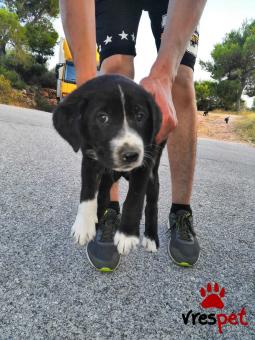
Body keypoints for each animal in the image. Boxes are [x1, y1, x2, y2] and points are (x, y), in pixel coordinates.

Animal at [53, 75, 165, 255]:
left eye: (140, 116)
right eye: (102, 117)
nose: (131, 155)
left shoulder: (144, 165)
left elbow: (134, 197)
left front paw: (127, 234)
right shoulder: (90, 159)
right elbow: (88, 191)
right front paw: (84, 225)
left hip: (153, 177)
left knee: (152, 205)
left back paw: (151, 237)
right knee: (104, 194)